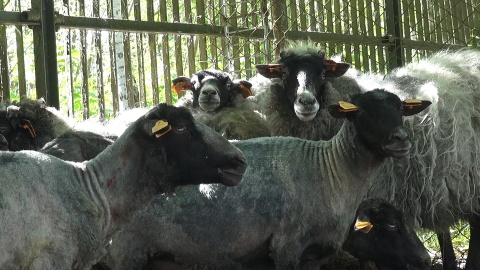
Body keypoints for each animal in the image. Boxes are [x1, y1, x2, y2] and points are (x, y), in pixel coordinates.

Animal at [96, 89, 432, 270]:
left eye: (401, 109)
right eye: (361, 112)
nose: (401, 140)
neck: (331, 171)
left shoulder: (315, 256)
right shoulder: (286, 247)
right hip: (126, 252)